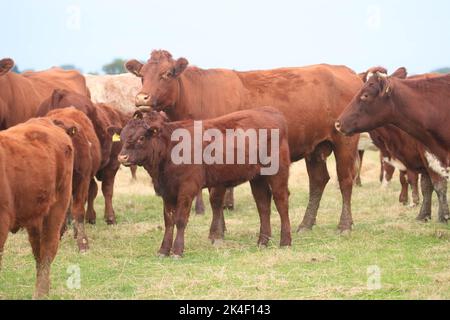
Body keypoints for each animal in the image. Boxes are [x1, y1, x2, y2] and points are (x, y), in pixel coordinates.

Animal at [116, 107, 292, 258]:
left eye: (141, 137)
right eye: (123, 137)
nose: (122, 157)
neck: (170, 148)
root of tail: (271, 111)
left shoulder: (187, 188)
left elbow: (180, 220)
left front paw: (177, 251)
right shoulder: (167, 192)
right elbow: (169, 221)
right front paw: (163, 250)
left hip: (278, 172)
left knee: (281, 202)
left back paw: (285, 241)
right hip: (257, 178)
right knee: (263, 205)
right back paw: (263, 241)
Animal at [125, 50, 362, 235]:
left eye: (166, 74)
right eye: (142, 75)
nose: (141, 98)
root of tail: (346, 71)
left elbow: (216, 196)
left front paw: (218, 232)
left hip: (345, 141)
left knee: (345, 181)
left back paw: (344, 225)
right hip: (315, 148)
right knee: (318, 181)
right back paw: (305, 224)